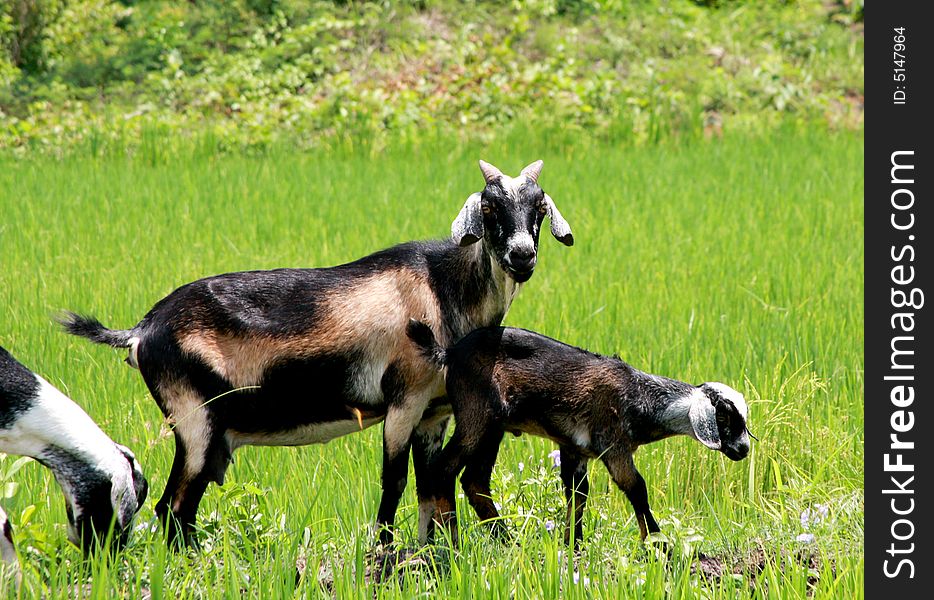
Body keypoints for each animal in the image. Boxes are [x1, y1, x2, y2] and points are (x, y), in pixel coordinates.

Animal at [60, 162, 572, 548]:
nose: (522, 256)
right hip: (195, 422)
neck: (441, 287)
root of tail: (142, 331)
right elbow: (394, 482)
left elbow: (429, 488)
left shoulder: (435, 413)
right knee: (174, 507)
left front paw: (430, 556)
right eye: (489, 206)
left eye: (539, 207)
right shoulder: (404, 401)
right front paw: (382, 555)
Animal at [408, 324, 752, 548]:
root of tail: (449, 352)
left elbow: (578, 494)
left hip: (493, 427)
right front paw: (658, 544)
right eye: (725, 415)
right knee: (443, 469)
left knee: (474, 481)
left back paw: (506, 541)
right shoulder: (615, 446)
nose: (744, 449)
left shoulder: (575, 448)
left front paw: (574, 546)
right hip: (476, 417)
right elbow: (637, 489)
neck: (638, 397)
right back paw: (452, 543)